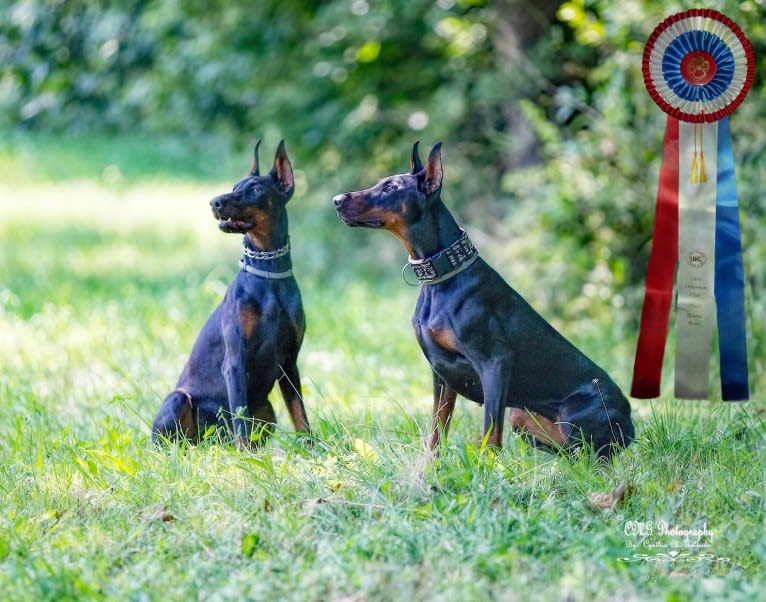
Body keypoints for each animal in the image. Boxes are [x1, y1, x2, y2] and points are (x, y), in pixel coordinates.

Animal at [153, 141, 312, 446]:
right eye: (235, 186)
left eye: (255, 189)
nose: (214, 202)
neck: (268, 275)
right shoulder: (235, 360)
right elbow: (240, 416)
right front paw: (244, 454)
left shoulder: (289, 361)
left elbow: (300, 414)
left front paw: (313, 450)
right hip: (177, 400)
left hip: (267, 410)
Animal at [334, 141, 636, 458]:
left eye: (390, 187)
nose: (337, 200)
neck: (441, 278)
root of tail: (630, 424)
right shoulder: (441, 374)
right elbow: (436, 431)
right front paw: (429, 466)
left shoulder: (495, 363)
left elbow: (490, 434)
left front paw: (488, 467)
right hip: (522, 414)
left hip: (575, 417)